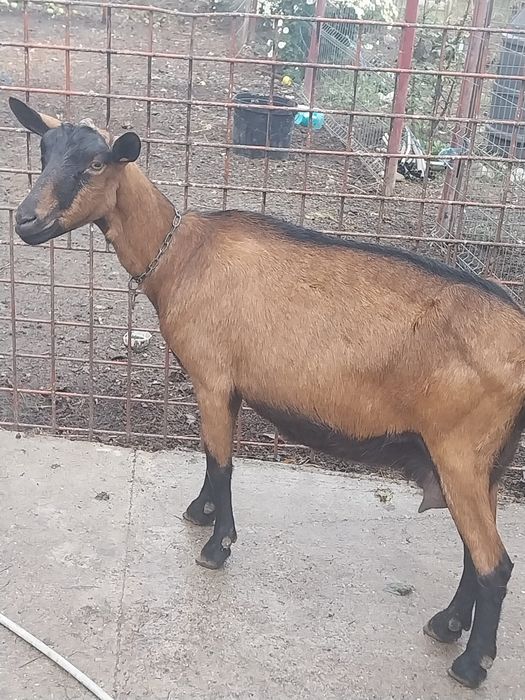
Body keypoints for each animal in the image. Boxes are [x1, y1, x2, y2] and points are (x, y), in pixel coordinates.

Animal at [8, 96, 524, 689]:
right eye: (44, 152)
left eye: (95, 165)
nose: (25, 220)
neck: (181, 255)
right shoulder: (227, 386)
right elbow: (212, 460)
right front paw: (201, 512)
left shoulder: (211, 376)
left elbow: (222, 461)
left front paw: (216, 545)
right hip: (485, 462)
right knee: (475, 552)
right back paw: (446, 624)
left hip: (461, 452)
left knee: (494, 563)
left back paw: (470, 663)